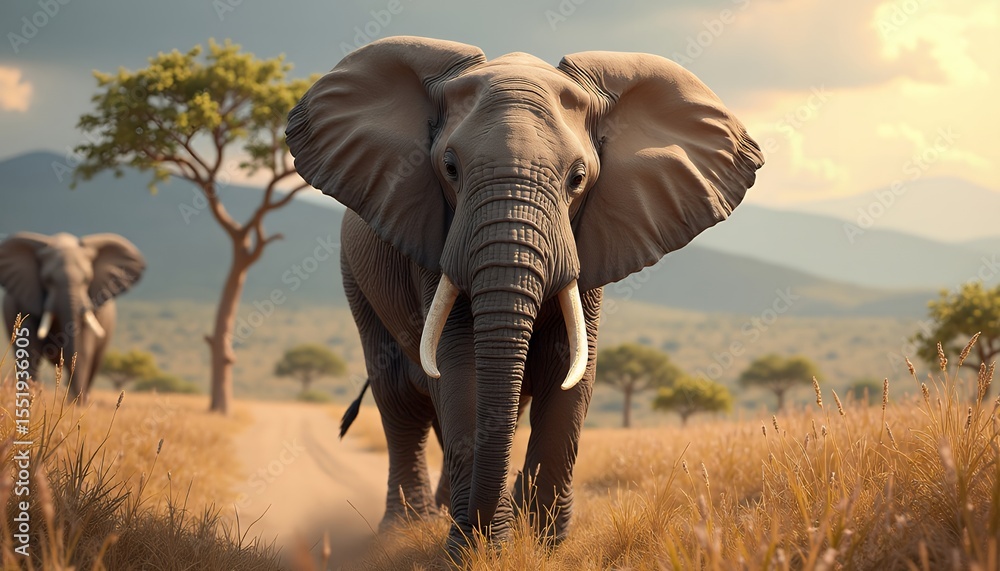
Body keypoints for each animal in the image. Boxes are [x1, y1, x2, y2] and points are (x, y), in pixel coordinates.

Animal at [0, 232, 146, 401]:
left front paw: (75, 403)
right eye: (47, 280)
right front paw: (27, 400)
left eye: (87, 279)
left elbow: (83, 350)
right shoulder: (25, 299)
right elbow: (29, 351)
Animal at [286, 36, 763, 552]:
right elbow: (461, 364)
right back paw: (405, 527)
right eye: (449, 169)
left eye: (578, 178)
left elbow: (569, 369)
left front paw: (544, 543)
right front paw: (476, 549)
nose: (479, 534)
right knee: (399, 398)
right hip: (354, 275)